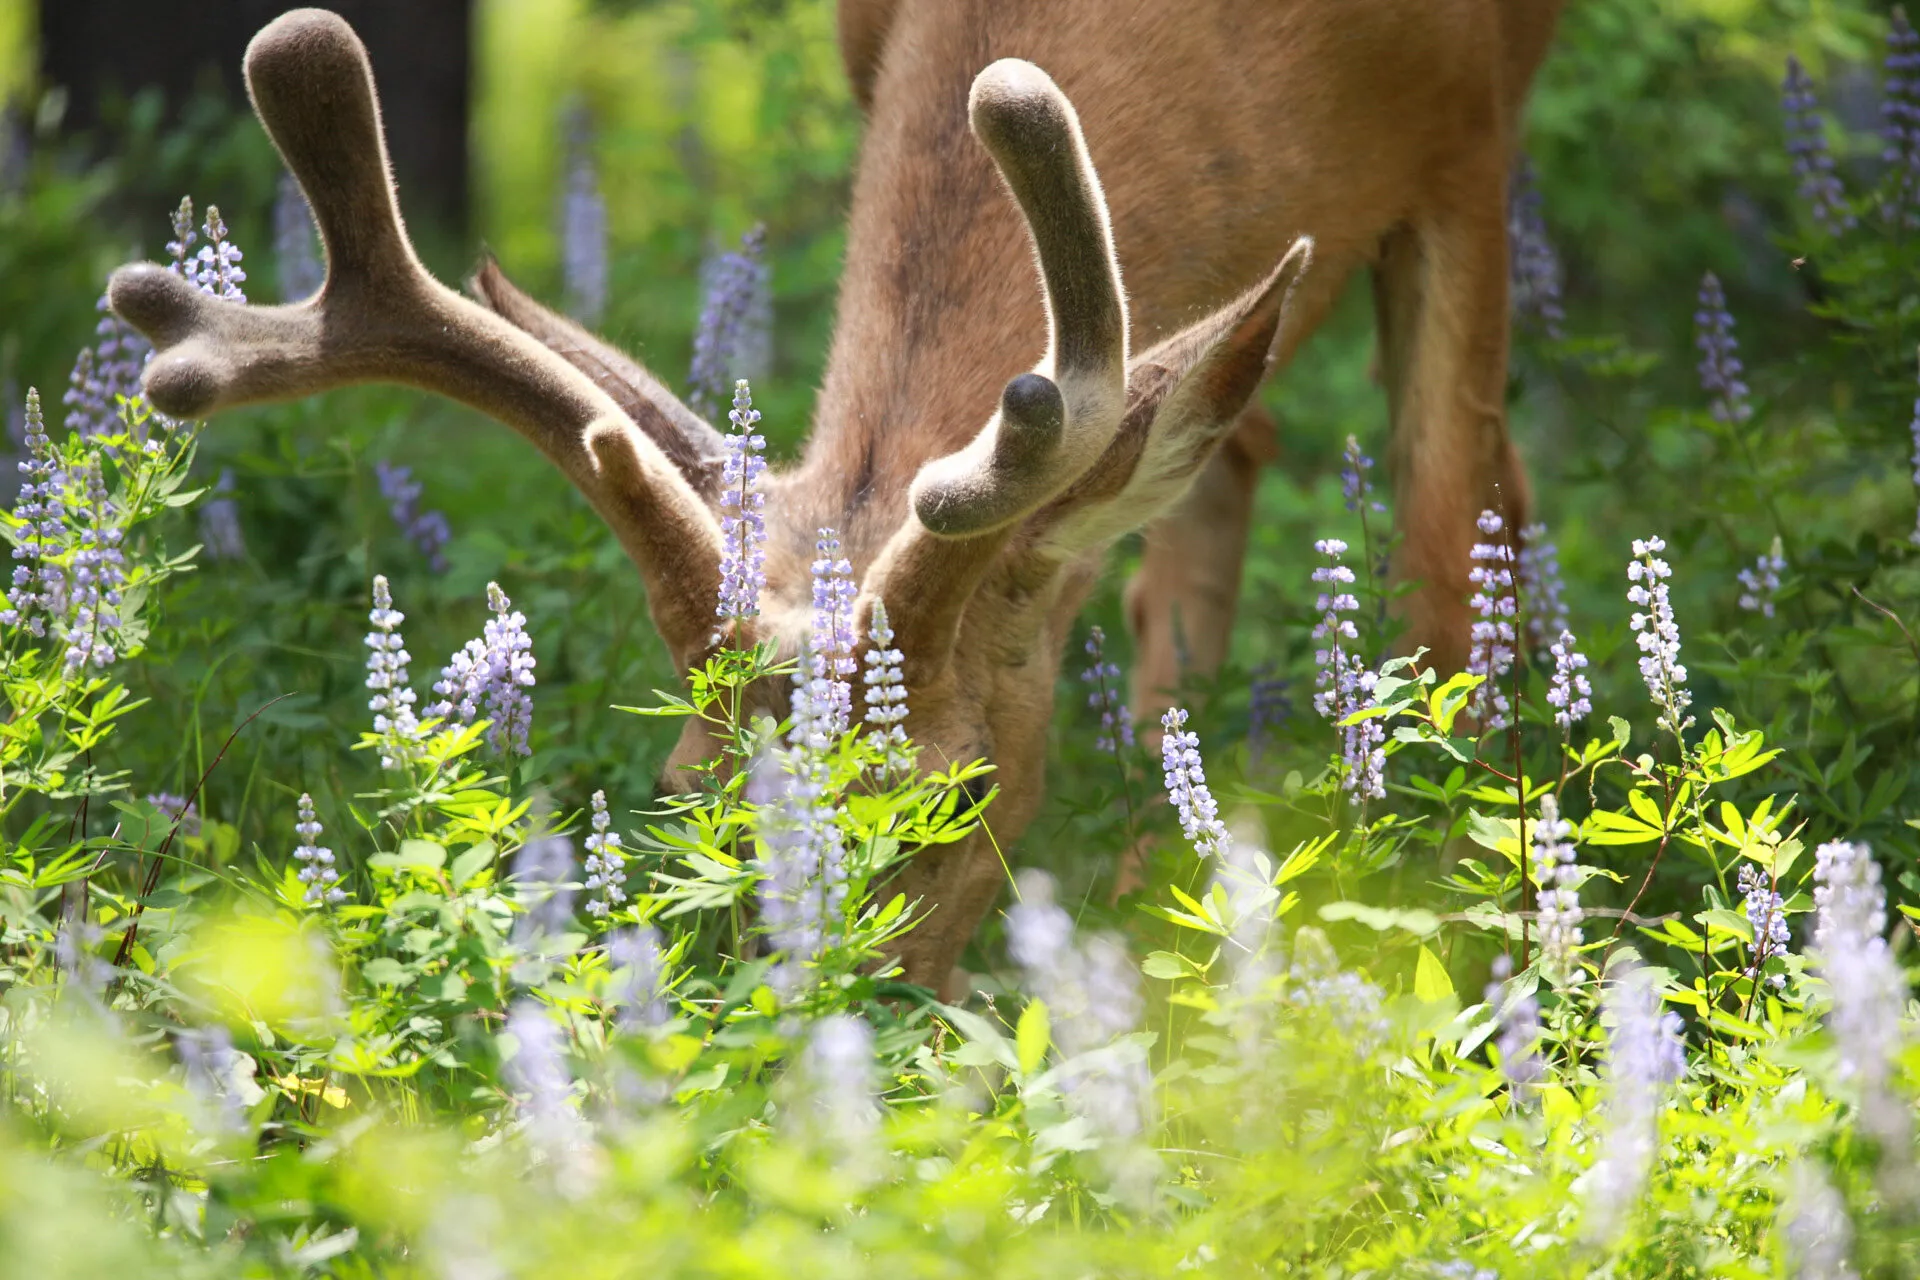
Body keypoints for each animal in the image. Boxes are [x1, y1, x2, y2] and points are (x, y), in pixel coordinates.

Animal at [107, 4, 1561, 995]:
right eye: (685, 788)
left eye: (961, 791)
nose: (829, 1038)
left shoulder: (1469, 129)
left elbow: (1448, 548)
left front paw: (1460, 918)